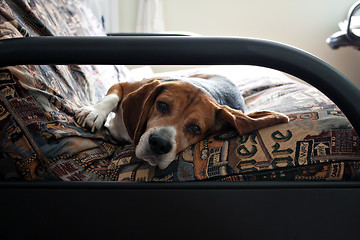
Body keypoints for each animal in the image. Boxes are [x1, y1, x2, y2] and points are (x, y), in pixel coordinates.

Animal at [74, 74, 288, 169]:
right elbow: (112, 97)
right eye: (162, 105)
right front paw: (94, 112)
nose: (159, 144)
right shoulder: (124, 85)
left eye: (195, 128)